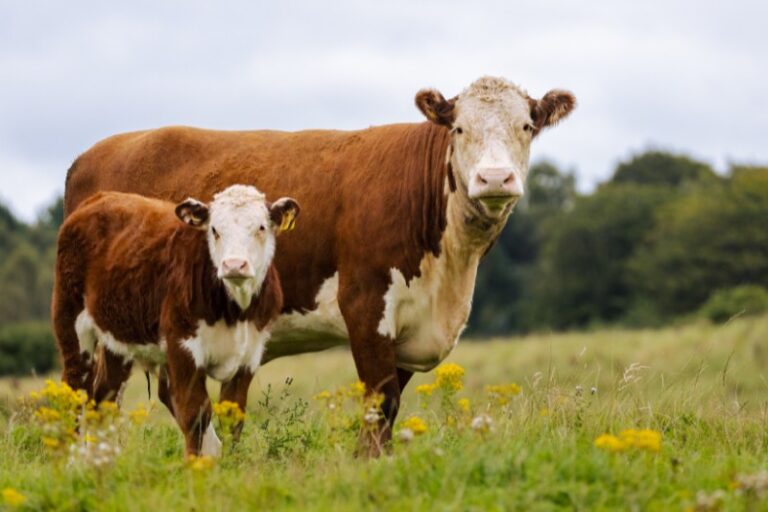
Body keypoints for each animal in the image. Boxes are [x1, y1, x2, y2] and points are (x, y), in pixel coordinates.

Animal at [52, 185, 300, 456]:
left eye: (261, 227)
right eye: (214, 230)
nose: (234, 265)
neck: (235, 311)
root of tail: (100, 197)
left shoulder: (249, 354)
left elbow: (233, 417)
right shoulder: (182, 347)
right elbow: (195, 414)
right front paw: (195, 464)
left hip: (117, 340)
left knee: (103, 398)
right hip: (72, 324)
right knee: (73, 391)